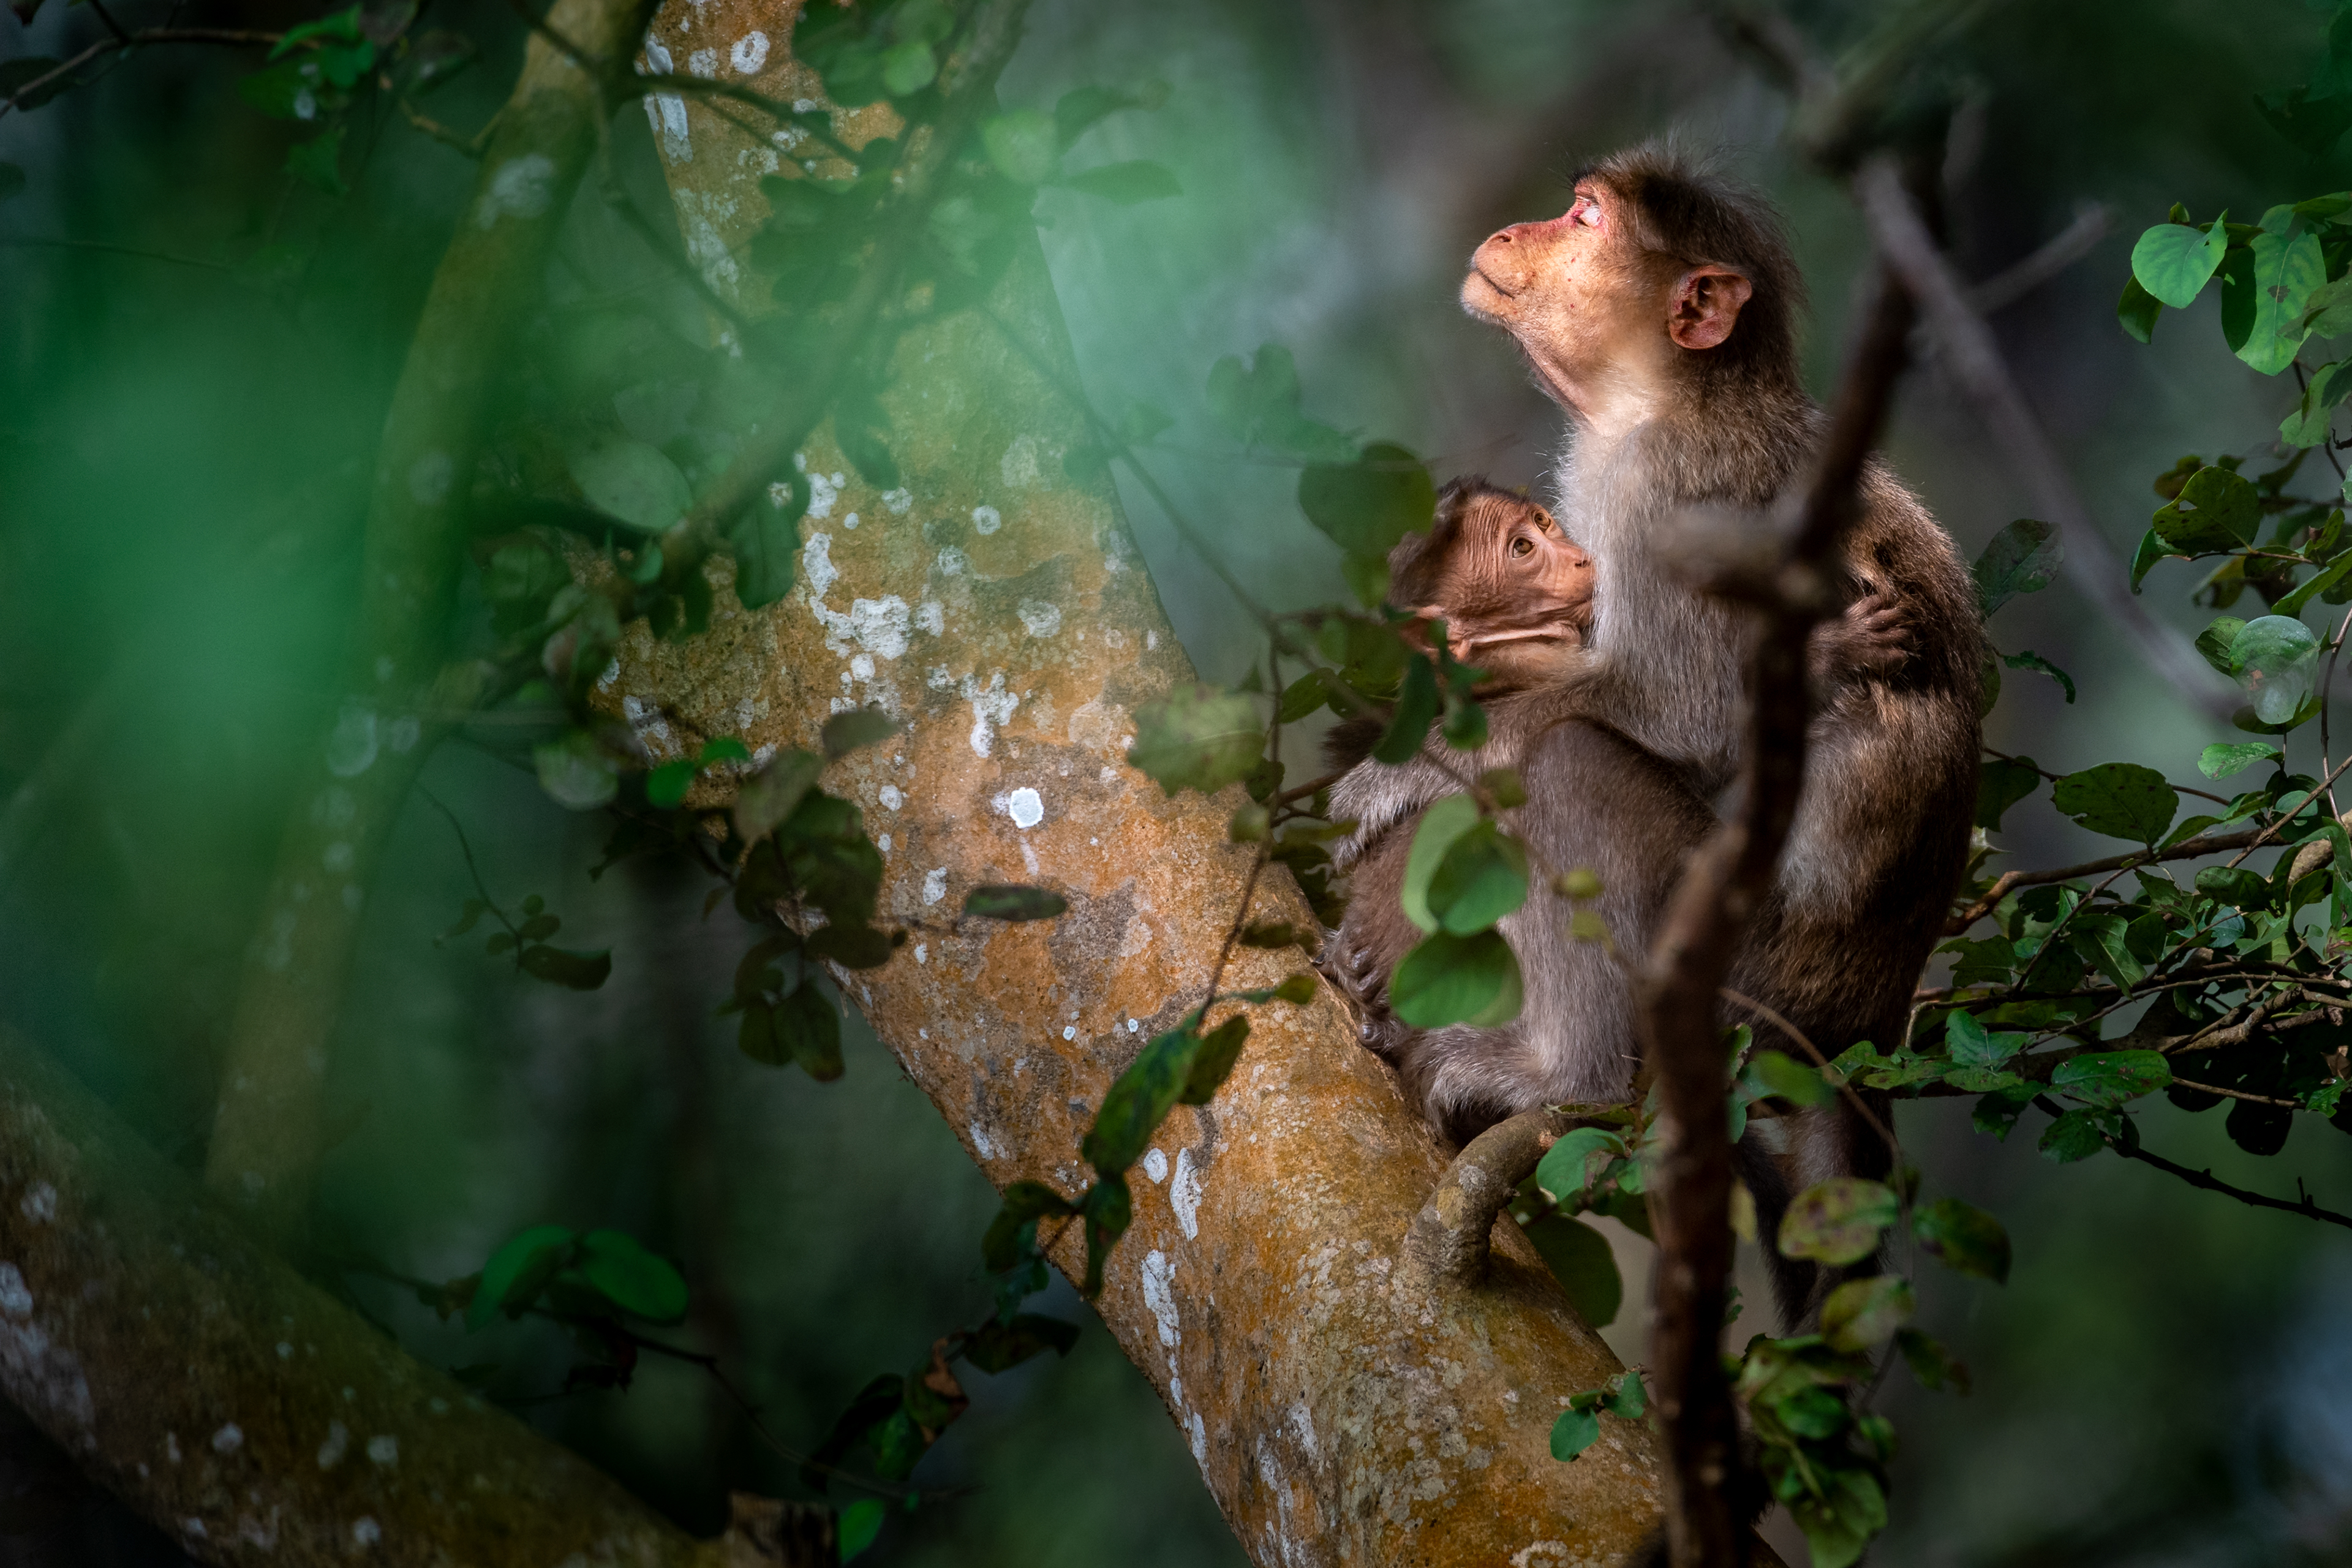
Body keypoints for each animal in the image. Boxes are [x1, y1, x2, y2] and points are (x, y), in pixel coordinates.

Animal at [1323, 144, 1981, 1321]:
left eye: (1584, 218)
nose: (1513, 231)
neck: (1658, 399)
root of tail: (1862, 1026)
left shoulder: (1670, 495)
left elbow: (1687, 713)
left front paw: (1384, 781)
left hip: (1736, 971)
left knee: (1573, 768)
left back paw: (1559, 1079)